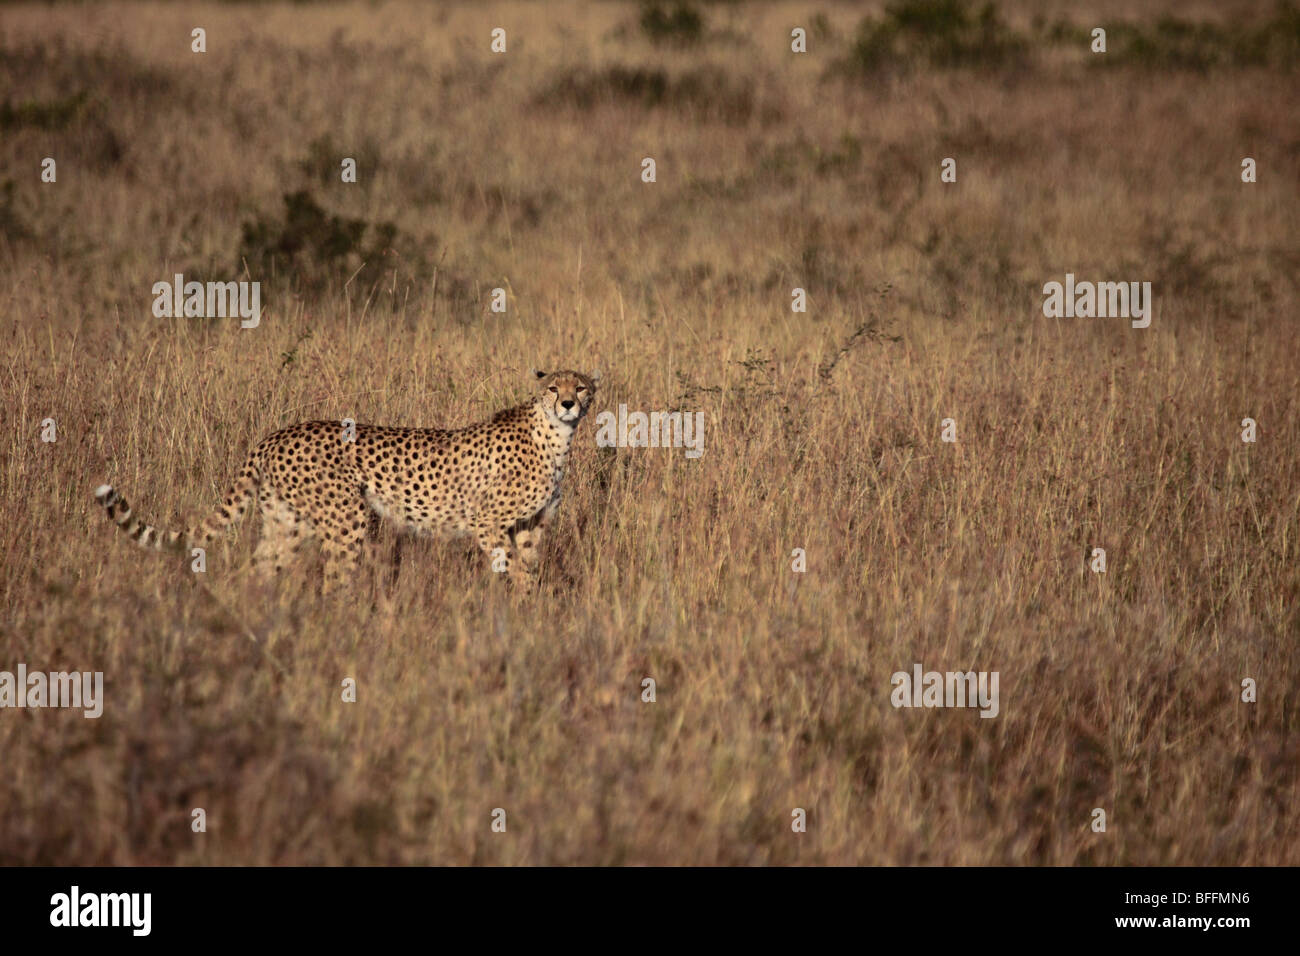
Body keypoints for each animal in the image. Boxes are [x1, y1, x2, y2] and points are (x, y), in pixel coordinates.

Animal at [94, 366, 600, 590]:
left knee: (259, 567)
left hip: (287, 522)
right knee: (335, 579)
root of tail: (275, 434)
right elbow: (517, 569)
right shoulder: (486, 521)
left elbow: (527, 566)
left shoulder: (531, 525)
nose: (568, 403)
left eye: (581, 387)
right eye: (553, 387)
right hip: (346, 518)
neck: (554, 436)